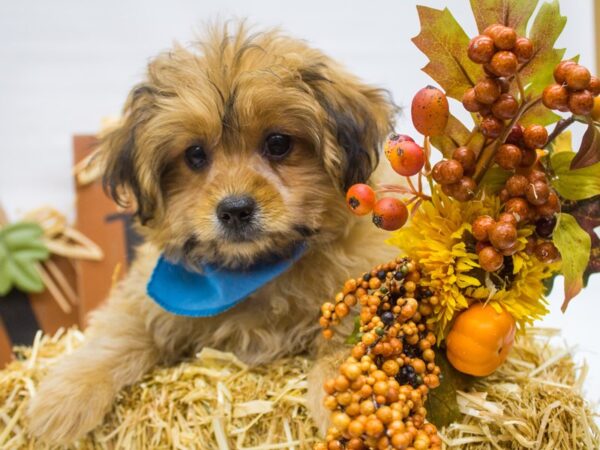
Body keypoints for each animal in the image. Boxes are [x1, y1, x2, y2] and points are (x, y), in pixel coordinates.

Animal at [27, 22, 398, 442]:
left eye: (278, 143)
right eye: (194, 154)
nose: (235, 210)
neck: (251, 271)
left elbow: (351, 336)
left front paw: (350, 397)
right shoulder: (146, 294)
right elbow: (120, 331)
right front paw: (65, 395)